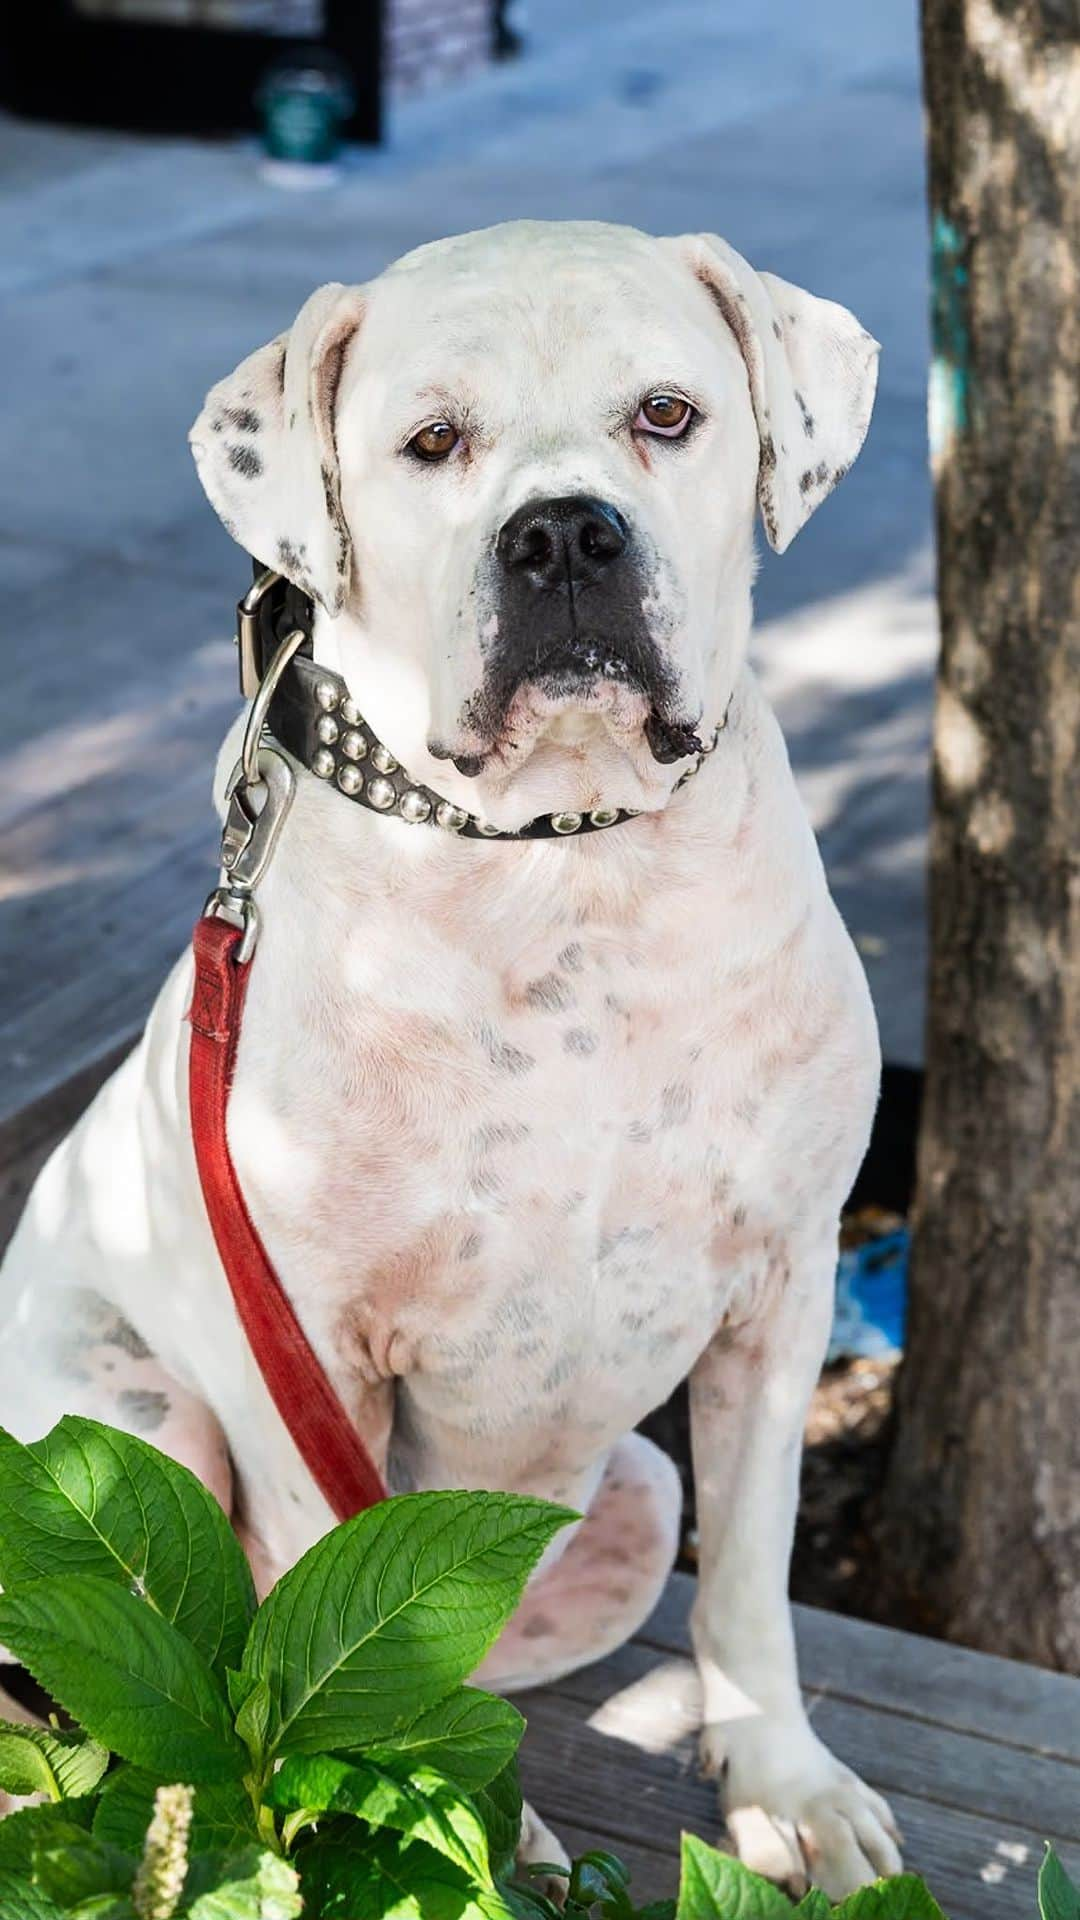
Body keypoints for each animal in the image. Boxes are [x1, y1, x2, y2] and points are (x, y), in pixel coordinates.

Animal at [0, 217, 899, 1896]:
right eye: (430, 443)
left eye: (666, 414)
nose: (563, 537)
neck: (564, 859)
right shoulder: (309, 1355)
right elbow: (331, 1610)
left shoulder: (782, 1290)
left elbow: (751, 1576)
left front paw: (786, 1785)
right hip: (134, 1422)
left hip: (632, 1496)